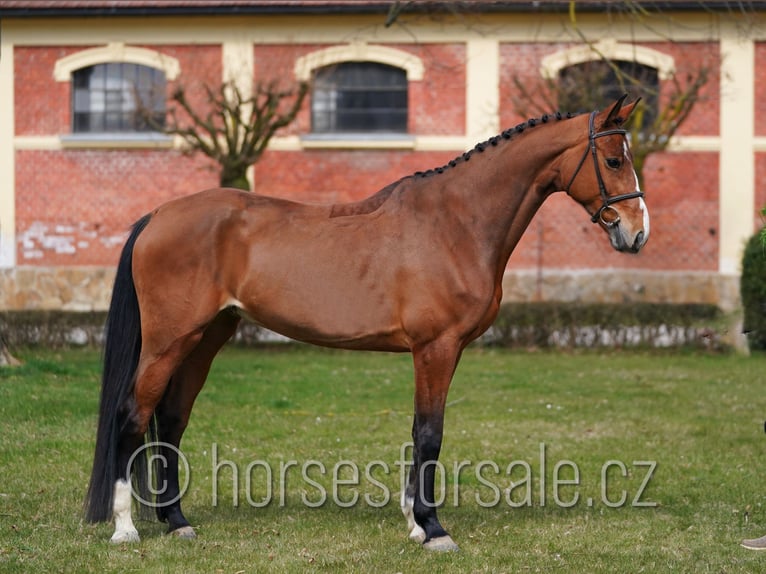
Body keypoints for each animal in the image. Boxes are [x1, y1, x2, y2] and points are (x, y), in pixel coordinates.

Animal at [85, 95, 649, 551]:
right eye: (613, 159)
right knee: (132, 416)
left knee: (171, 419)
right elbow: (430, 433)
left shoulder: (440, 351)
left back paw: (177, 521)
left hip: (206, 338)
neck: (455, 223)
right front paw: (434, 530)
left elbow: (419, 429)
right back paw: (126, 528)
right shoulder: (435, 347)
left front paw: (416, 524)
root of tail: (158, 215)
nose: (637, 233)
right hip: (168, 341)